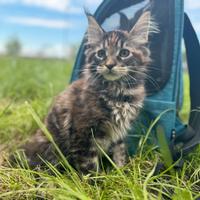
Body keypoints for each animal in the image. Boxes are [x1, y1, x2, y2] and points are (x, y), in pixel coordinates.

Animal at [11, 11, 158, 173]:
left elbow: (119, 154)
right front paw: (96, 180)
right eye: (101, 53)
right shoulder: (83, 133)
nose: (110, 65)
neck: (118, 92)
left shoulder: (119, 134)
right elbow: (89, 166)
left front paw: (121, 173)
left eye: (124, 53)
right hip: (51, 148)